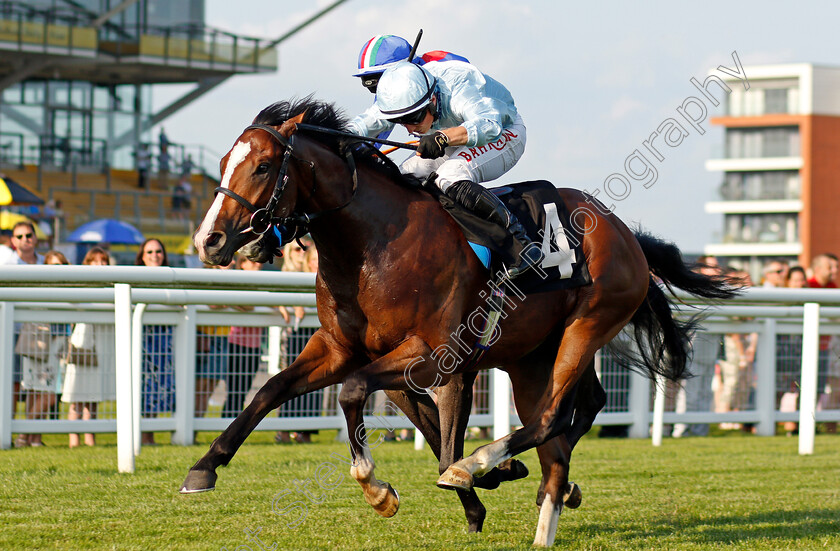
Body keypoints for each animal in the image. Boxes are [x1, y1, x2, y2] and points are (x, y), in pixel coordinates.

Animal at [182, 97, 736, 544]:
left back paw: (485, 467)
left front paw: (380, 489)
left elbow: (359, 394)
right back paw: (540, 497)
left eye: (262, 165)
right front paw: (205, 467)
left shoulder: (433, 354)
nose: (208, 240)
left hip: (587, 326)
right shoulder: (342, 347)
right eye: (223, 163)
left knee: (551, 417)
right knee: (568, 424)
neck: (373, 242)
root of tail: (625, 233)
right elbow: (271, 390)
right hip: (530, 357)